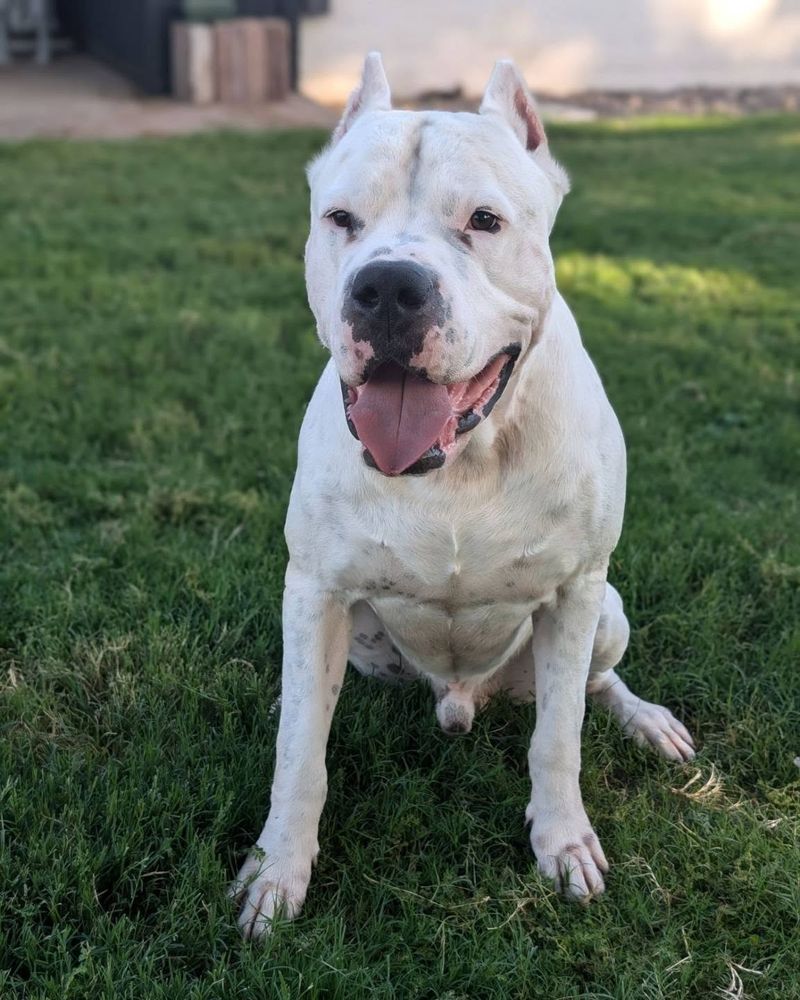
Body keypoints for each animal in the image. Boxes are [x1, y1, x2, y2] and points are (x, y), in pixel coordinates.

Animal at [230, 48, 692, 936]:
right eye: (340, 217)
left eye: (485, 220)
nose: (387, 288)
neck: (462, 459)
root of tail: (460, 699)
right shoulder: (315, 589)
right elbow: (302, 751)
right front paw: (278, 869)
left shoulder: (576, 593)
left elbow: (558, 739)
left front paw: (563, 840)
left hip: (609, 613)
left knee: (595, 685)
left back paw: (647, 721)